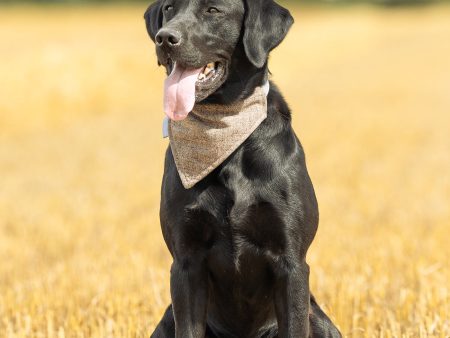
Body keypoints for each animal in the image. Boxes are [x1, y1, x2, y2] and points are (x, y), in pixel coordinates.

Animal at [145, 1, 342, 336]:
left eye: (213, 10)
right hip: (166, 321)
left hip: (322, 321)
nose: (164, 38)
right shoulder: (185, 262)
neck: (227, 133)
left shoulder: (291, 262)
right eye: (169, 7)